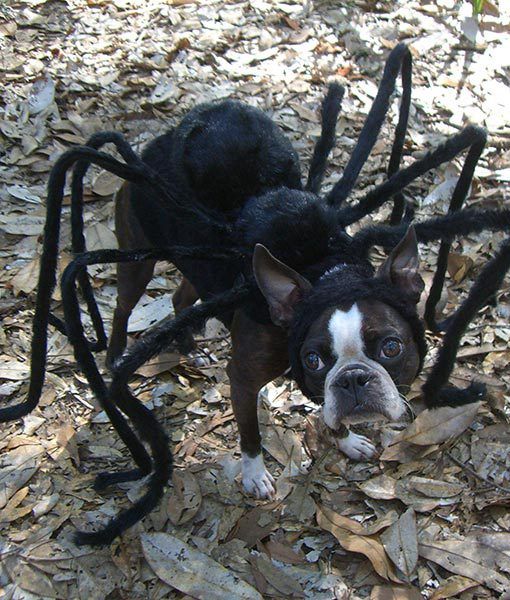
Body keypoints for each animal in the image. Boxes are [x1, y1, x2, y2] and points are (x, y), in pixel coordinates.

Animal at [105, 97, 424, 496]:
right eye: (313, 359)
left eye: (392, 347)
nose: (353, 378)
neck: (325, 271)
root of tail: (150, 151)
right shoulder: (242, 379)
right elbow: (250, 434)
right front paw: (254, 474)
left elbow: (328, 409)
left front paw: (347, 441)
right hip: (138, 260)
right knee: (122, 307)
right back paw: (115, 354)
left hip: (197, 266)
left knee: (180, 298)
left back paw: (189, 347)